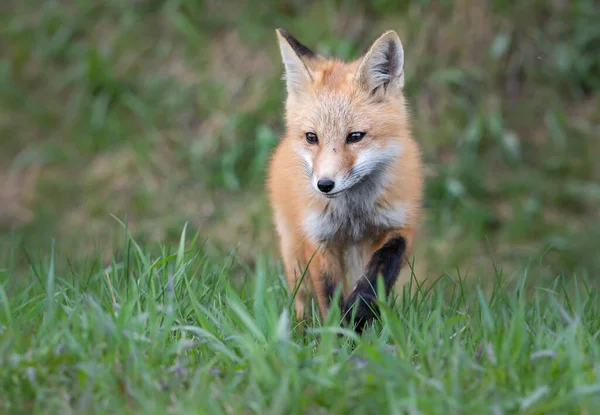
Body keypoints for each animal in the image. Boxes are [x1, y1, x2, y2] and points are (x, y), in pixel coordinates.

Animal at [268, 28, 426, 334]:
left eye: (355, 136)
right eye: (312, 137)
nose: (324, 185)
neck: (353, 213)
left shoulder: (401, 225)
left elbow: (380, 272)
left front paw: (359, 314)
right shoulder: (318, 238)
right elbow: (329, 295)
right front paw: (338, 334)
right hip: (293, 252)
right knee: (302, 297)